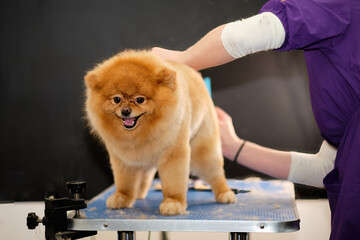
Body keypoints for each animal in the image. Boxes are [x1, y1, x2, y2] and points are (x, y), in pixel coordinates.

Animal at [84, 49, 236, 215]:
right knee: (146, 173)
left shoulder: (173, 152)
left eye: (140, 100)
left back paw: (225, 193)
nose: (125, 110)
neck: (139, 133)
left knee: (215, 173)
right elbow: (125, 181)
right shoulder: (123, 158)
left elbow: (173, 181)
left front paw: (173, 203)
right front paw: (122, 197)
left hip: (202, 150)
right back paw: (138, 193)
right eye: (116, 99)